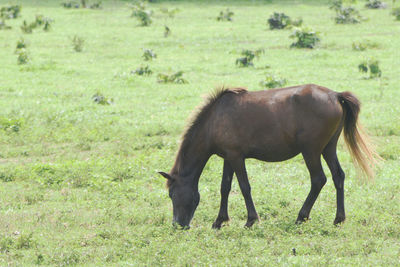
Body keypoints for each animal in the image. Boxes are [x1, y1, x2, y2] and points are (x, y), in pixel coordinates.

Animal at [159, 84, 378, 230]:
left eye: (172, 194)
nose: (178, 225)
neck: (214, 120)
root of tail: (335, 95)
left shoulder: (237, 157)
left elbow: (244, 187)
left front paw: (251, 220)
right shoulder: (228, 157)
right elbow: (225, 187)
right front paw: (219, 221)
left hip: (311, 151)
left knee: (318, 180)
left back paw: (301, 217)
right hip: (328, 148)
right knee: (338, 177)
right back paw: (338, 219)